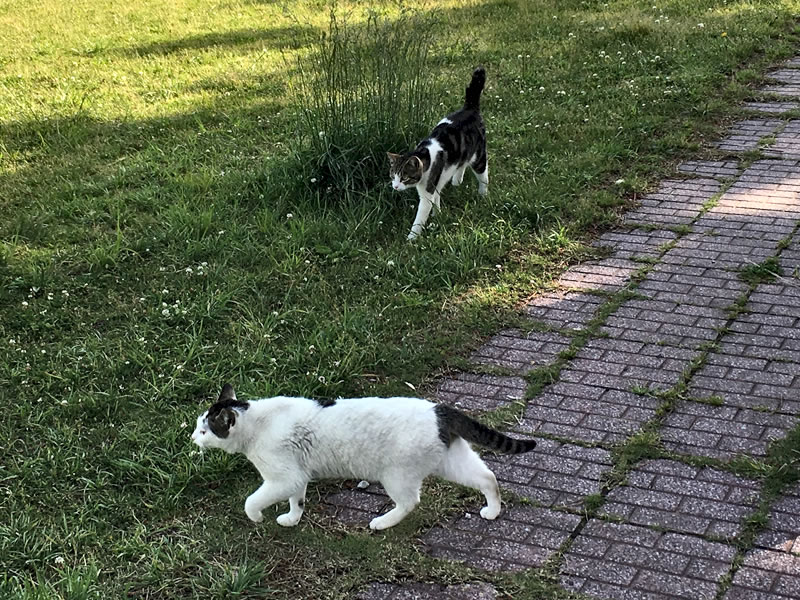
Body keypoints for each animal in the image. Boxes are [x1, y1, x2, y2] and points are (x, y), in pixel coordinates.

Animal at [191, 384, 536, 528]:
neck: (257, 422)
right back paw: (492, 511)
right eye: (197, 425)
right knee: (488, 477)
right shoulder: (296, 476)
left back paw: (382, 522)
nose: (192, 437)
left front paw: (257, 517)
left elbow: (251, 501)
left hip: (396, 474)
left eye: (205, 430)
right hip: (451, 462)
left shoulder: (282, 477)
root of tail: (440, 409)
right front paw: (292, 519)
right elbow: (297, 500)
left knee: (410, 502)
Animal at [388, 67, 488, 240]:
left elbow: (422, 212)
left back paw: (483, 194)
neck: (426, 155)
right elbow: (436, 199)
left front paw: (412, 238)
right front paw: (438, 216)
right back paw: (457, 181)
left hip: (479, 156)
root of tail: (470, 108)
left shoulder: (429, 186)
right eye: (393, 176)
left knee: (483, 174)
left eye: (404, 178)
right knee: (462, 163)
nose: (395, 187)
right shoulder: (436, 183)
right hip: (463, 154)